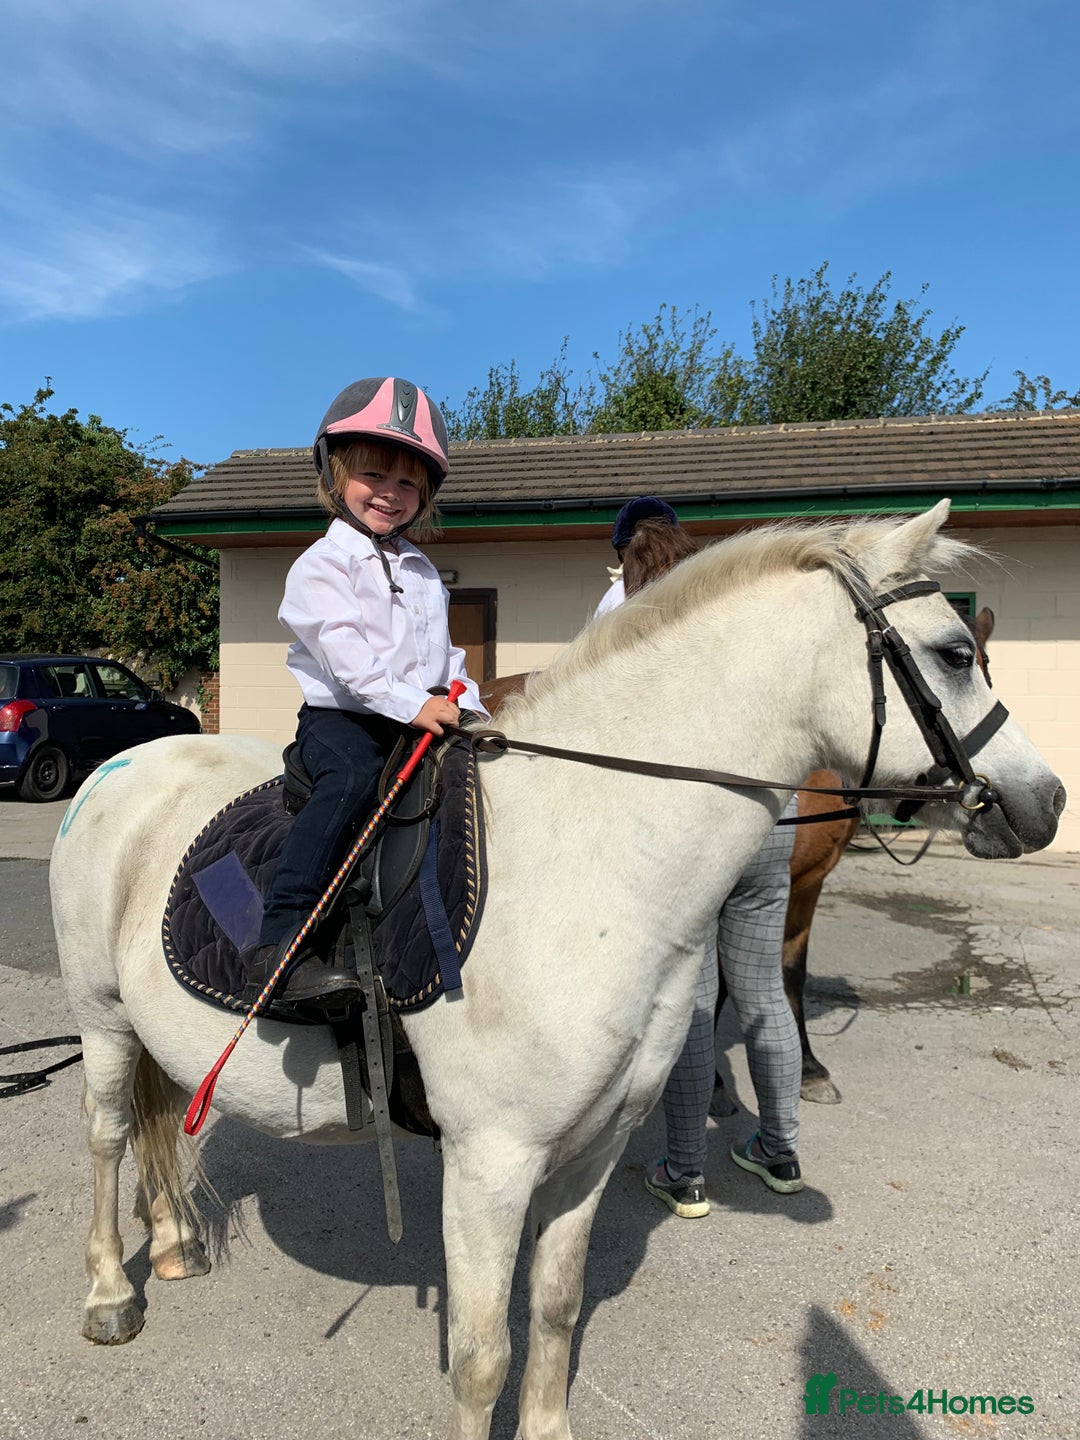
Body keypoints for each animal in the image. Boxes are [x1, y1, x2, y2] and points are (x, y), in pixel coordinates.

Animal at [50, 504, 1062, 1440]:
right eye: (955, 652)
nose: (1046, 801)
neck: (588, 858)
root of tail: (127, 762)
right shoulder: (490, 1165)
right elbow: (481, 1357)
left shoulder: (593, 1149)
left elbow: (556, 1308)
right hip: (101, 1017)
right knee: (106, 1135)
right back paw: (109, 1296)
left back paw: (175, 1242)